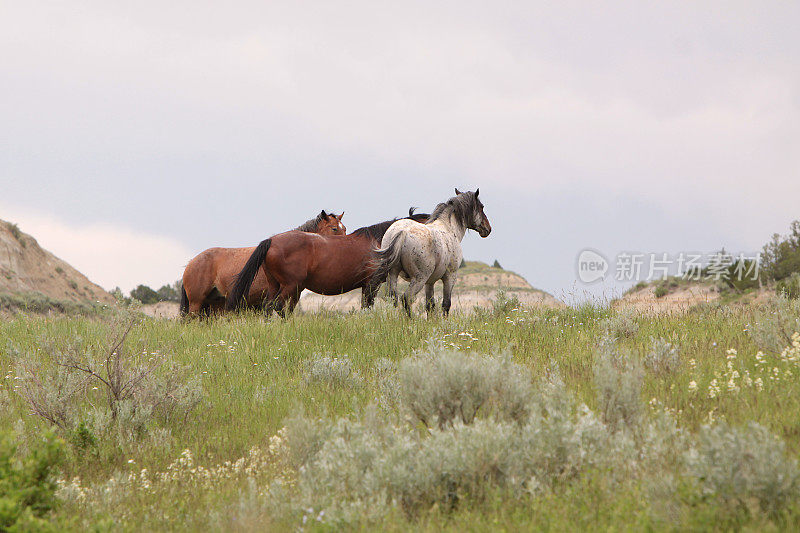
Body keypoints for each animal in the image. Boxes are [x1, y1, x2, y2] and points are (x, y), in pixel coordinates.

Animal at [225, 208, 432, 316]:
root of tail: (271, 241)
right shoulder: (371, 284)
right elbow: (367, 307)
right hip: (290, 286)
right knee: (274, 307)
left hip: (275, 285)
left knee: (270, 309)